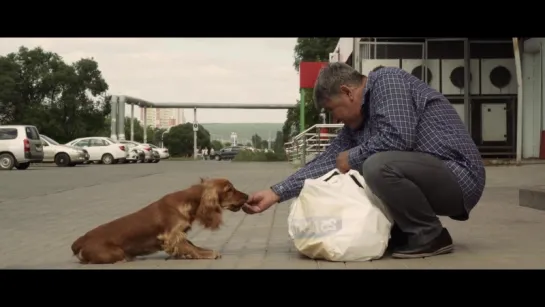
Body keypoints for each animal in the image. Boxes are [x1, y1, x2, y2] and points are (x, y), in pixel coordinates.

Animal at [70, 178, 249, 264]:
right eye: (229, 189)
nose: (247, 196)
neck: (189, 202)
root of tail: (81, 240)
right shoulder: (172, 236)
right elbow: (192, 249)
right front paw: (208, 254)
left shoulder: (180, 234)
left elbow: (193, 245)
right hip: (116, 252)